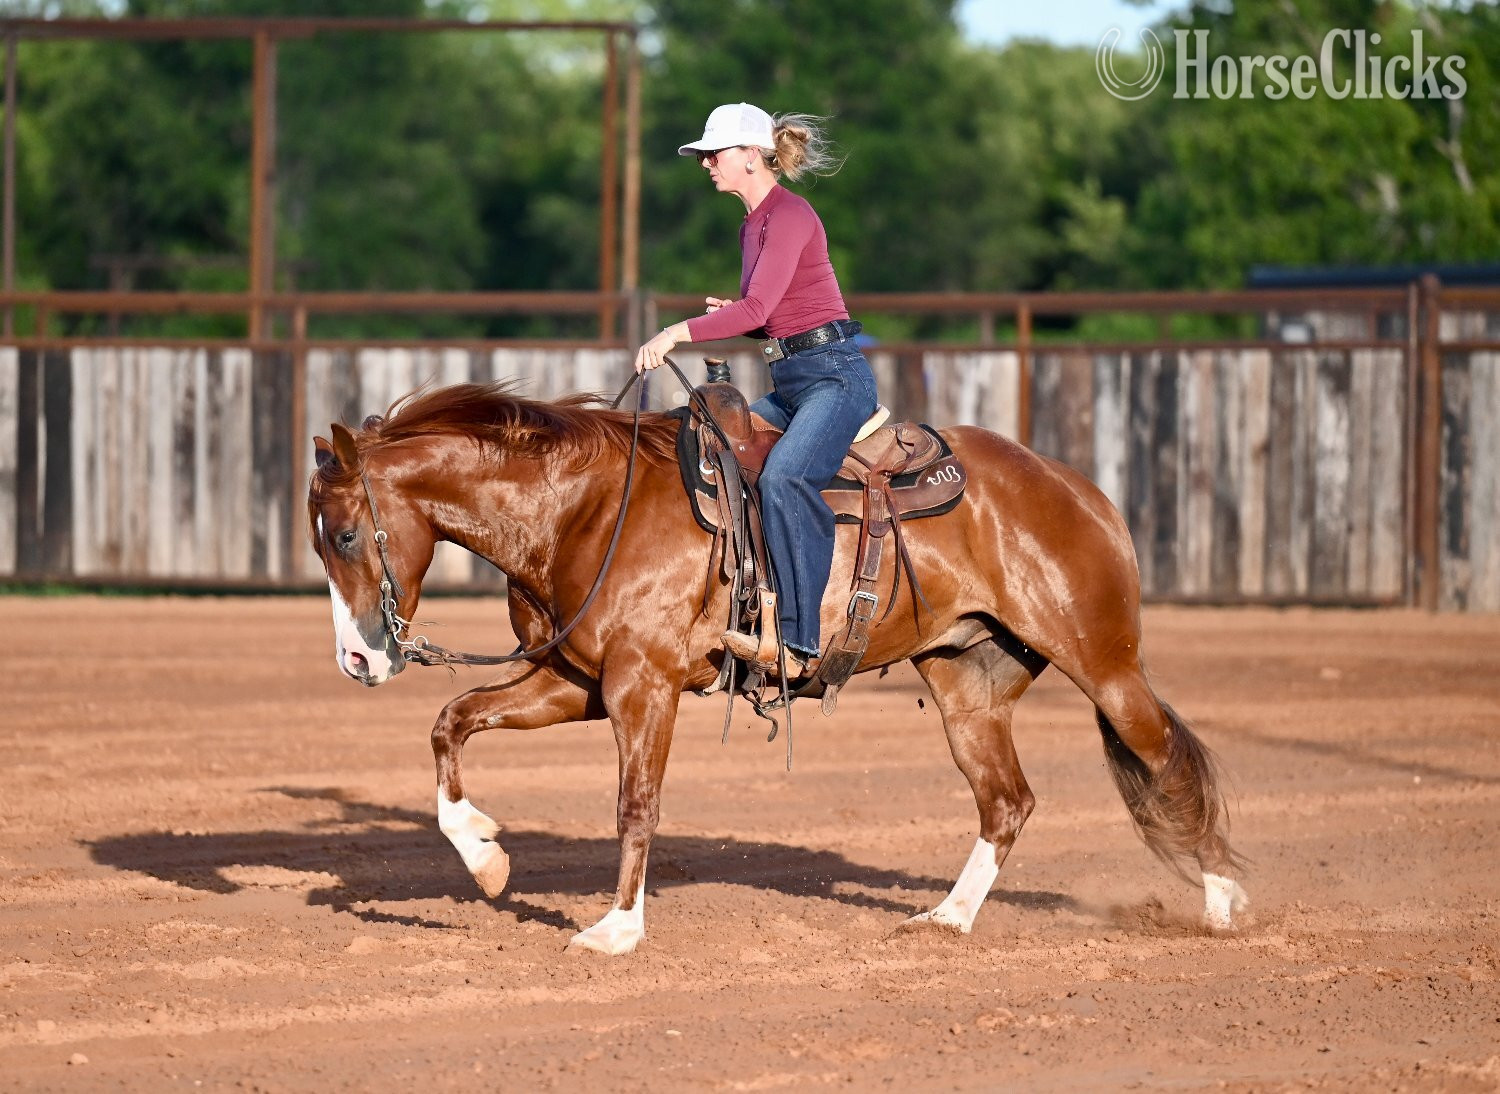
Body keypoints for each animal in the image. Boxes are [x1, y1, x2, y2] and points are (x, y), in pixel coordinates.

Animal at [307, 378, 1247, 955]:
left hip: (1105, 664)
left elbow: (636, 806)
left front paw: (616, 930)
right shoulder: (575, 683)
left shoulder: (642, 685)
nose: (354, 658)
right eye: (319, 540)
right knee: (1007, 802)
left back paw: (1224, 905)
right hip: (966, 685)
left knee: (1168, 760)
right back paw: (946, 918)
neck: (587, 509)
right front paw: (485, 857)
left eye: (347, 534)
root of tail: (1080, 492)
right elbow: (452, 721)